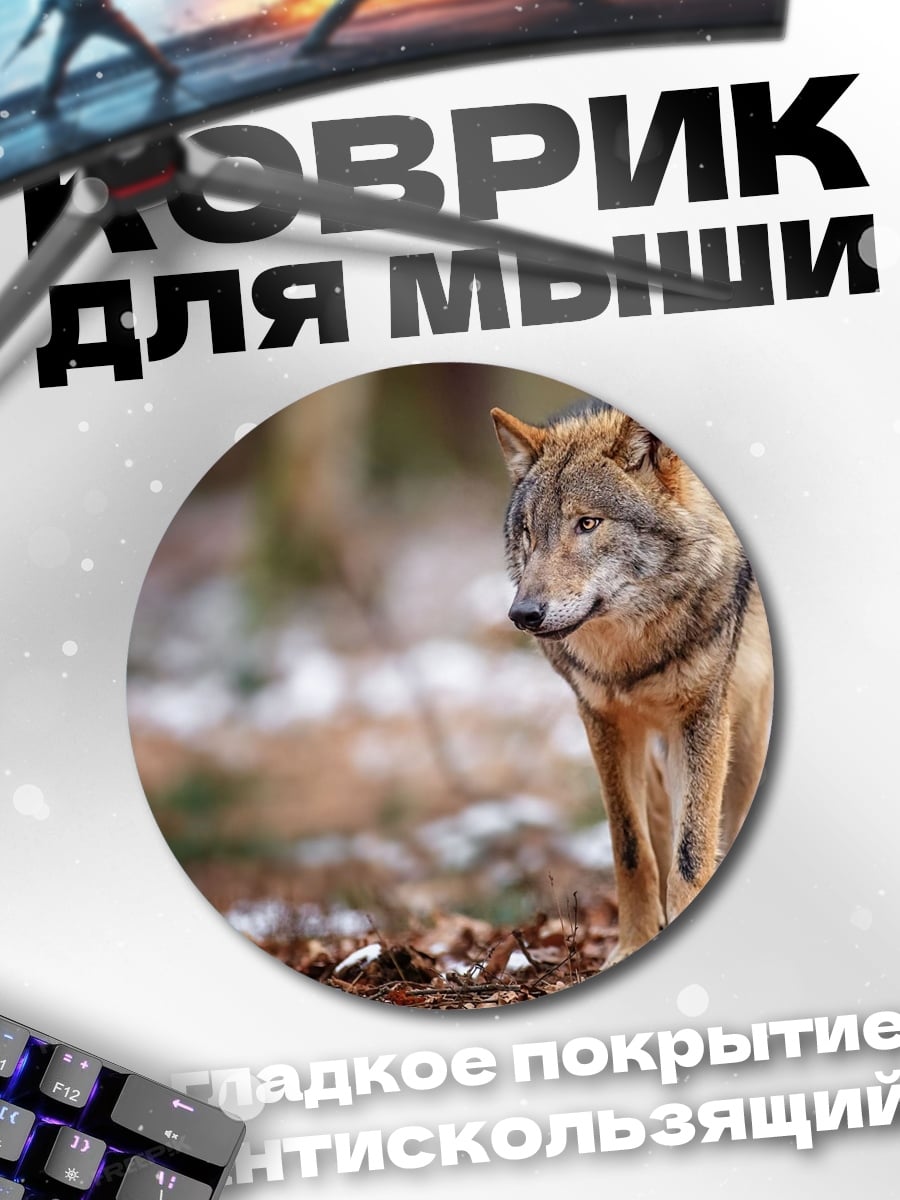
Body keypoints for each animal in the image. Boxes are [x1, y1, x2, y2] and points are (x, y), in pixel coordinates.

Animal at [492, 399, 773, 964]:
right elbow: (631, 849)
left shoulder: (704, 718)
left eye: (587, 523)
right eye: (529, 531)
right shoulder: (603, 720)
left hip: (748, 732)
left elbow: (692, 854)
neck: (632, 655)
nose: (523, 614)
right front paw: (634, 945)